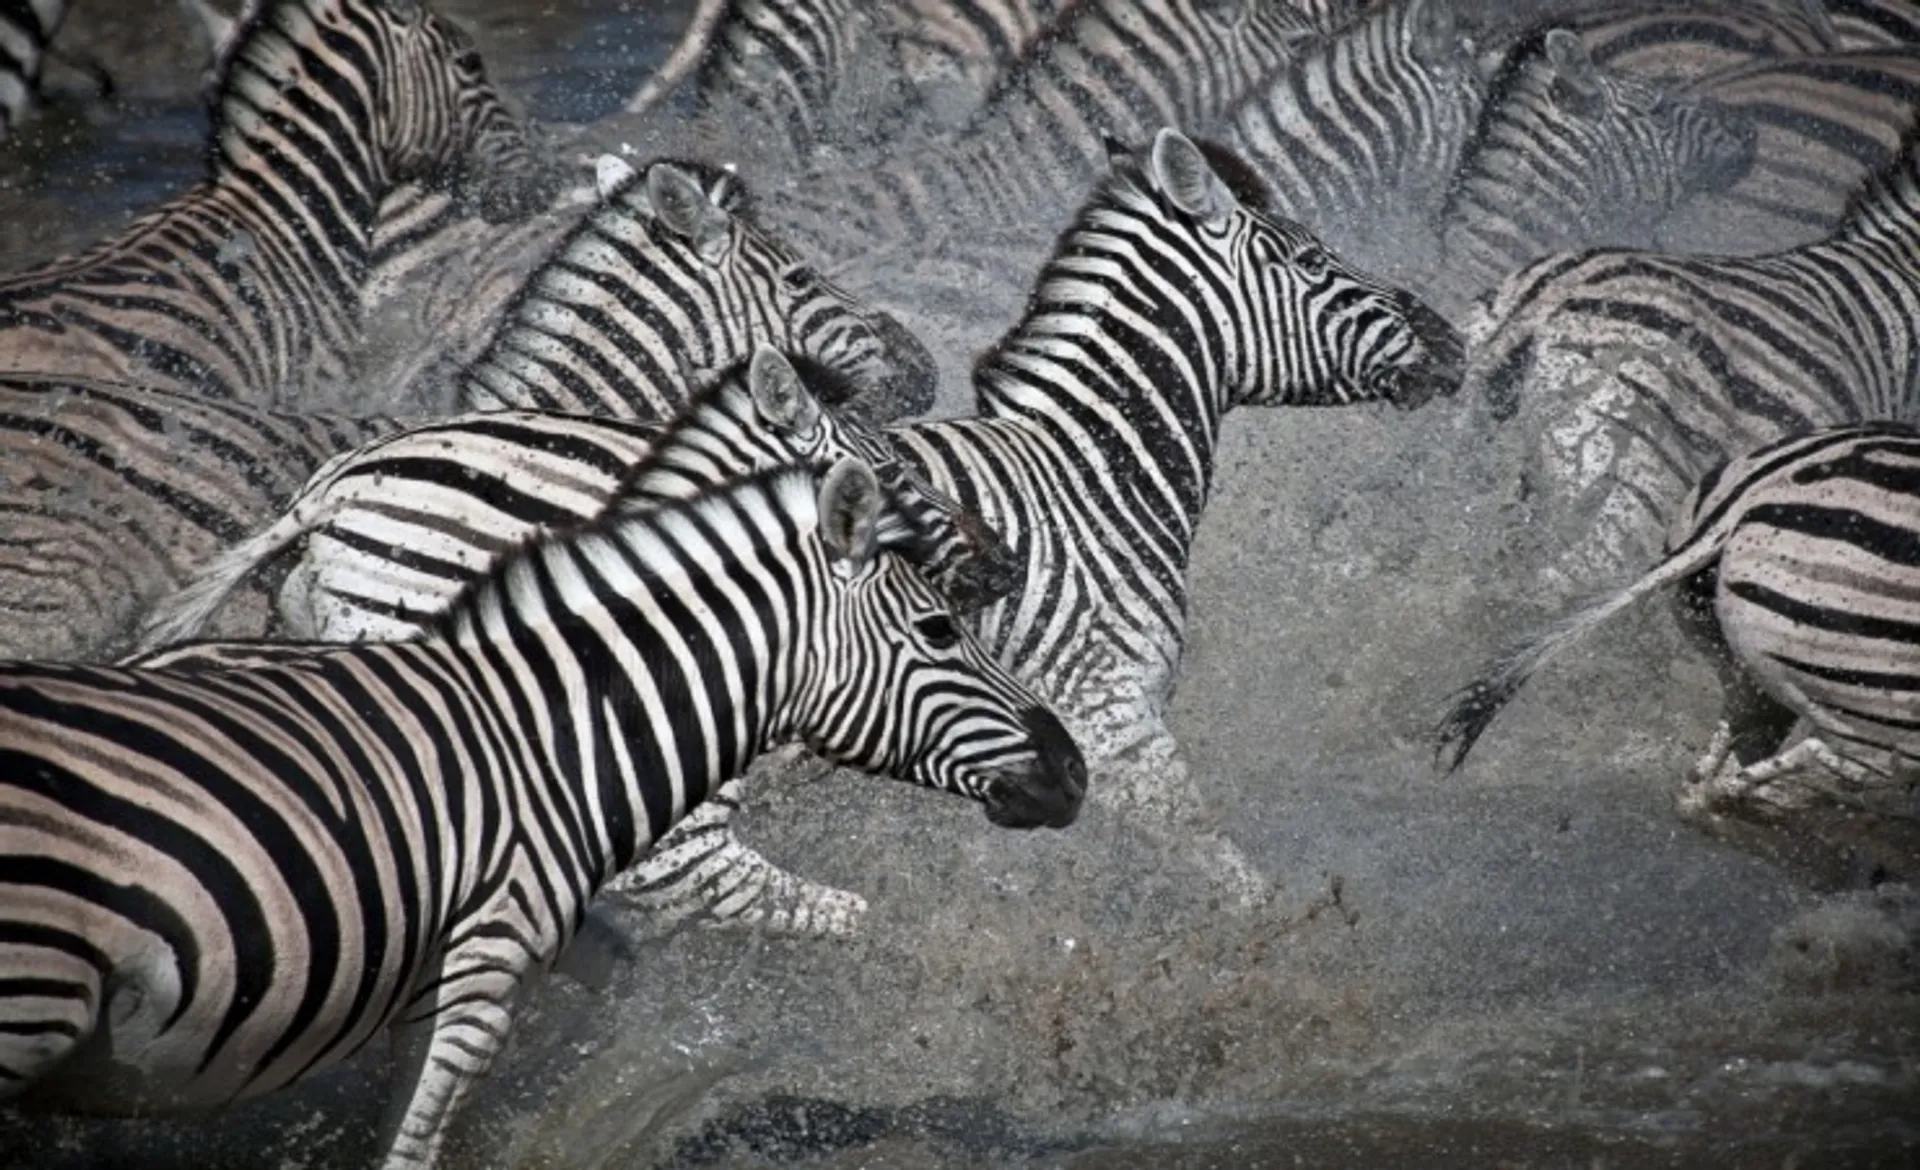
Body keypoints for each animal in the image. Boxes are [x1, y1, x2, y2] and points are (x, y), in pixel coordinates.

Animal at [0, 457, 1085, 1169]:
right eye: (938, 629)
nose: (1071, 771)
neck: (549, 734)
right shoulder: (483, 965)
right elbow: (417, 1144)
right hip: (33, 988)